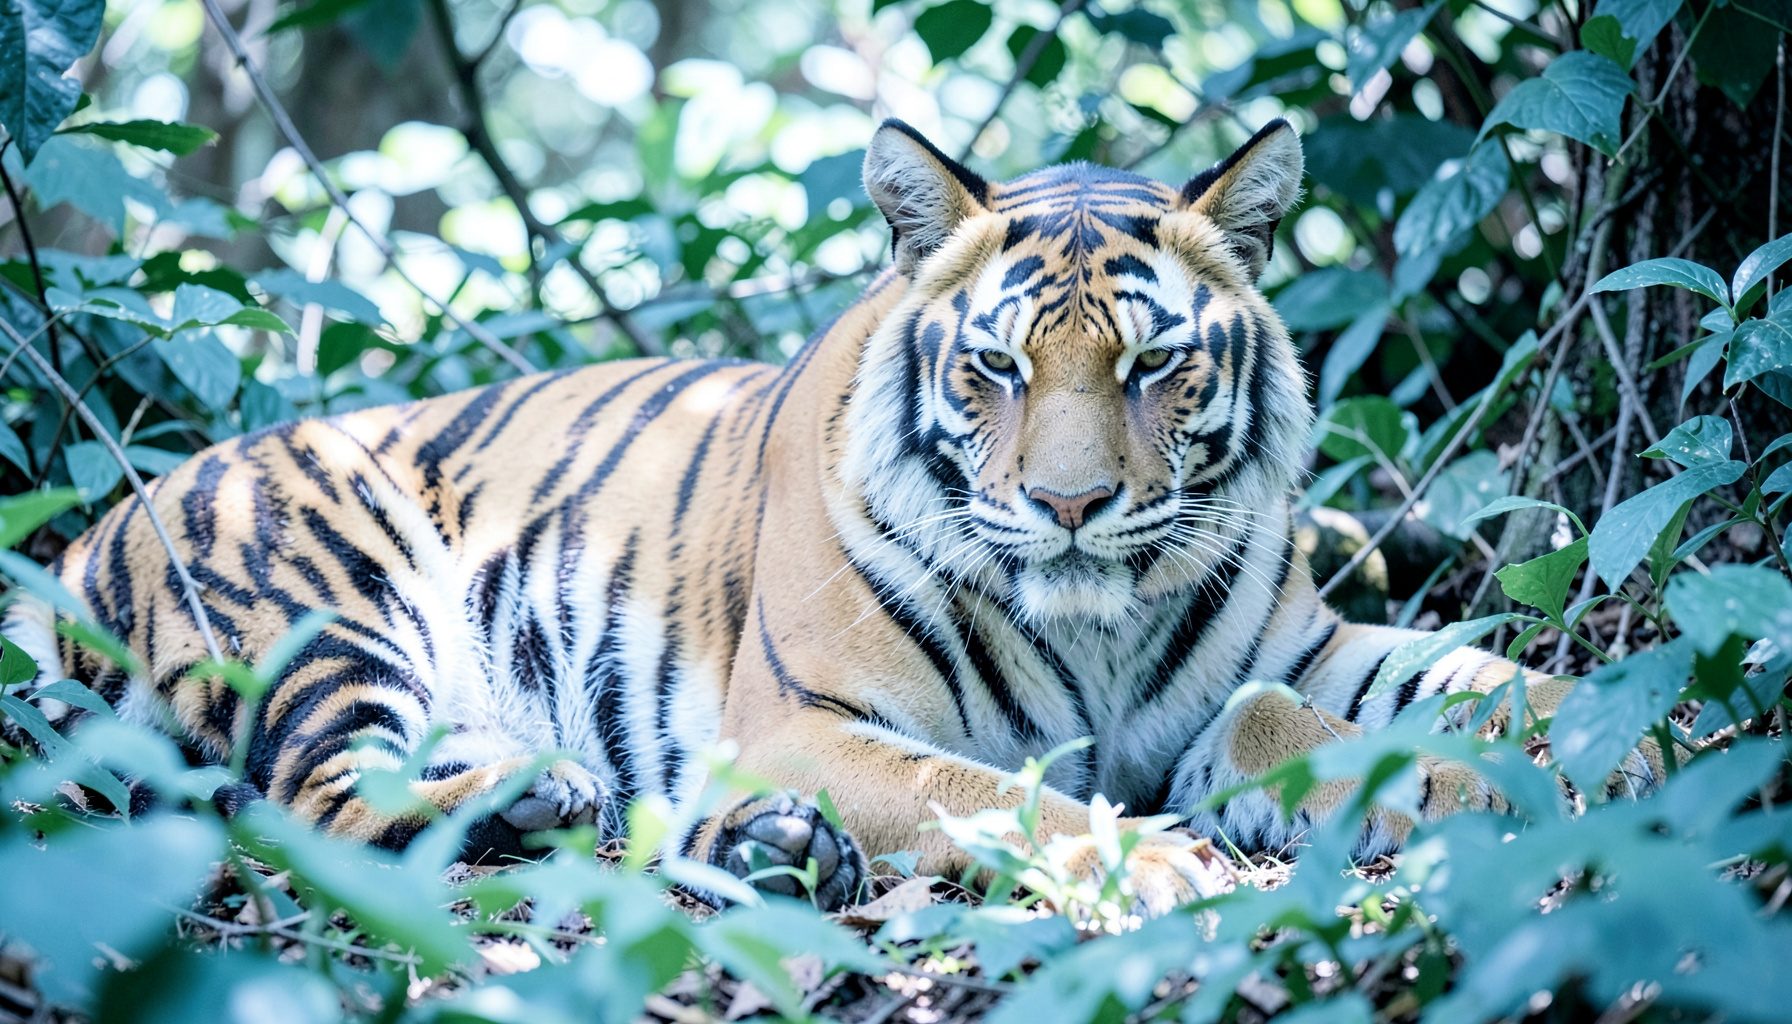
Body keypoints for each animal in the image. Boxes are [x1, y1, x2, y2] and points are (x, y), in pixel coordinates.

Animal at [2, 119, 1660, 914]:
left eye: (1151, 367)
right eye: (997, 367)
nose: (1071, 506)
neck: (1101, 626)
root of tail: (78, 544)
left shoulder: (1297, 648)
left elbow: (1441, 687)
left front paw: (1626, 742)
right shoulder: (803, 723)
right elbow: (996, 794)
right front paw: (1168, 868)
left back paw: (759, 850)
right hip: (316, 604)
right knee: (320, 803)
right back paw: (554, 805)